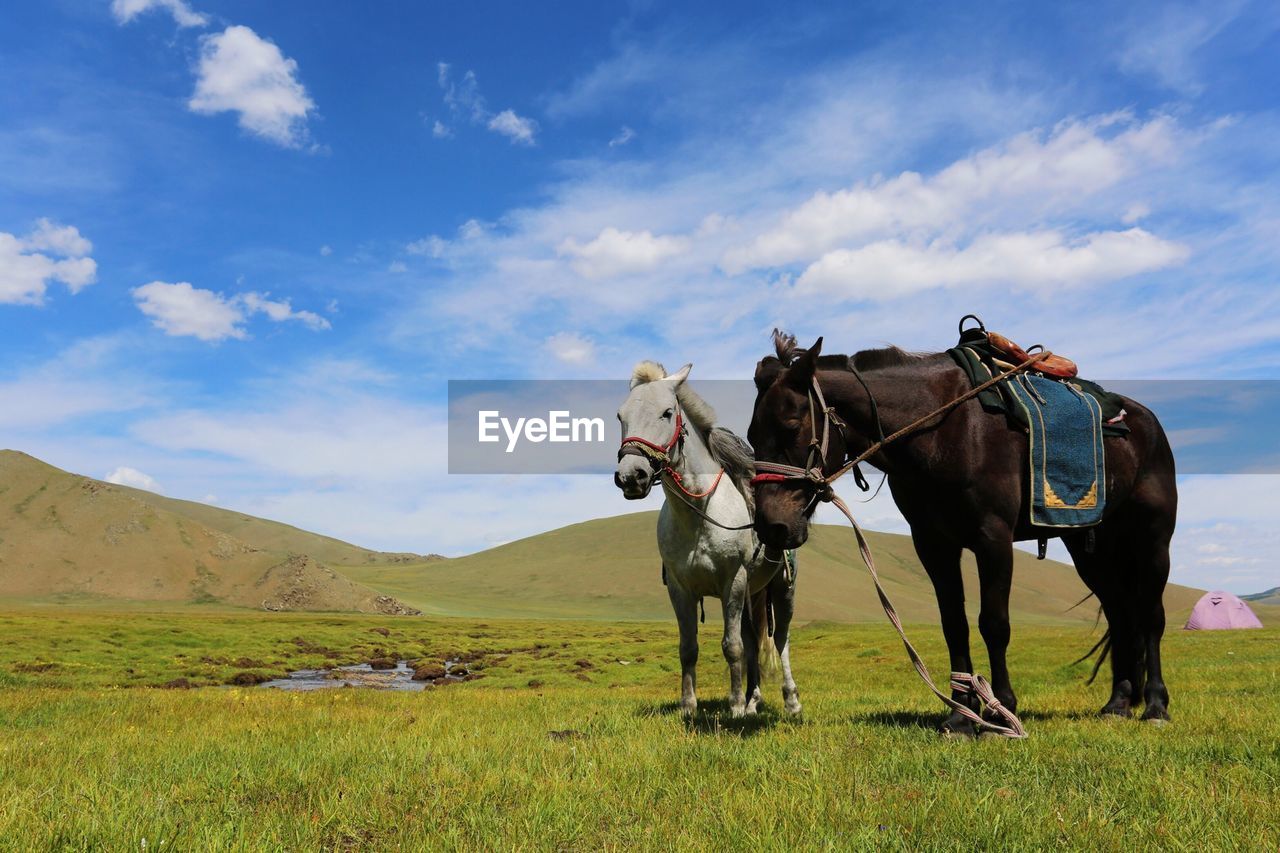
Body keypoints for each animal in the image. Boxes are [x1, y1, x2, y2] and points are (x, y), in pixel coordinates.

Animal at [616, 361, 803, 717]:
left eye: (667, 412)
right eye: (621, 416)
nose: (631, 476)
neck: (699, 515)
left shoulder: (734, 581)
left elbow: (732, 647)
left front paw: (734, 706)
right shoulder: (680, 589)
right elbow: (689, 647)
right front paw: (689, 707)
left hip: (781, 588)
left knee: (781, 639)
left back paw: (790, 700)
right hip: (753, 593)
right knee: (753, 637)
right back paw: (753, 699)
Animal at [747, 333, 1177, 732]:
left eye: (791, 425)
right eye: (752, 436)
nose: (772, 525)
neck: (943, 430)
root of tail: (1147, 423)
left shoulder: (993, 539)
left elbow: (994, 624)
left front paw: (1002, 711)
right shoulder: (934, 544)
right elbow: (954, 625)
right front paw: (961, 715)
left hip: (1153, 542)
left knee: (1151, 618)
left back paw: (1156, 705)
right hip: (1091, 550)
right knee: (1121, 616)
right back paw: (1118, 703)